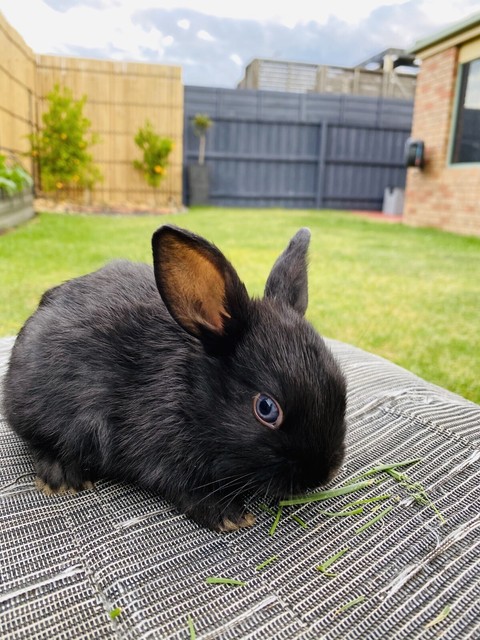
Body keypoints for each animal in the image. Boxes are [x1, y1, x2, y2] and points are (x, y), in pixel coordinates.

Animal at [3, 225, 347, 532]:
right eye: (266, 408)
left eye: (341, 384)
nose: (323, 473)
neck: (190, 397)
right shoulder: (158, 452)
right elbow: (180, 485)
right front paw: (228, 514)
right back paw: (62, 476)